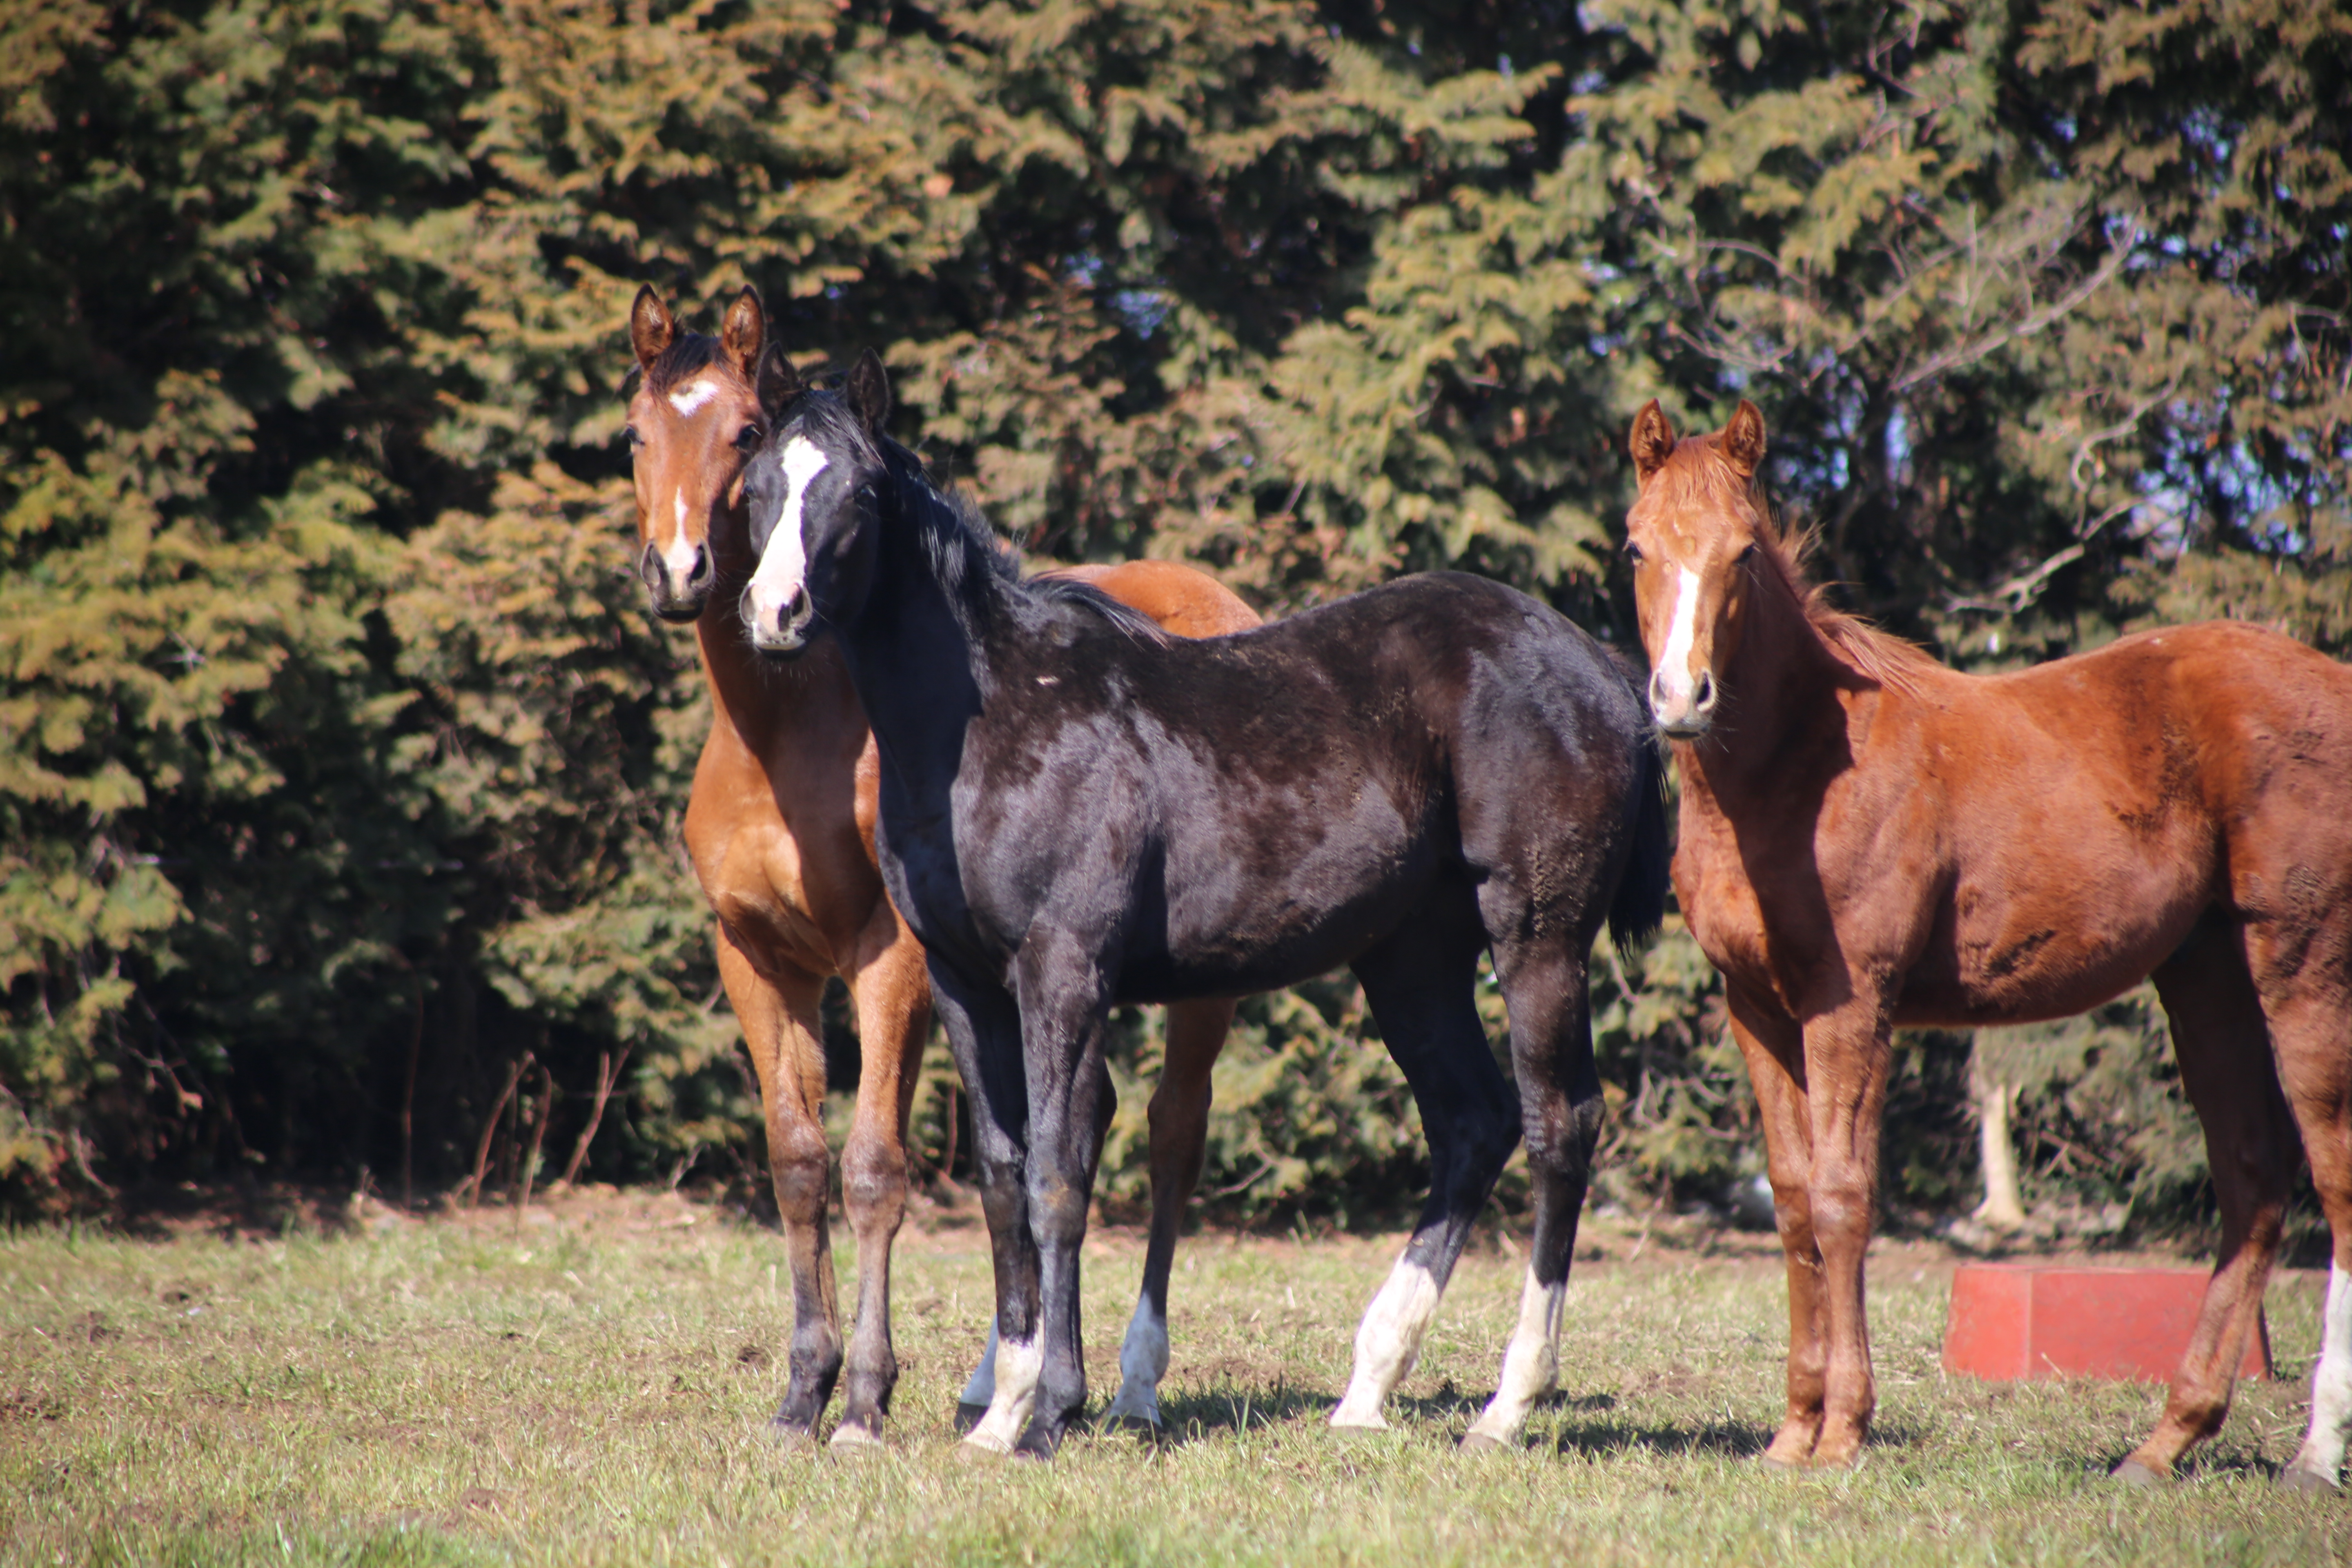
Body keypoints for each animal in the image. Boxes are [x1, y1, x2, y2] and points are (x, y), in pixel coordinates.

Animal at [616, 285, 1261, 1448]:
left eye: (741, 433)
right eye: (636, 436)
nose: (682, 574)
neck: (788, 737)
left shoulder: (897, 955)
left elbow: (875, 1167)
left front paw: (865, 1400)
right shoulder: (755, 957)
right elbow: (798, 1162)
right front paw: (803, 1391)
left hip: (1201, 987)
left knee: (1169, 1134)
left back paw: (1134, 1383)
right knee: (1080, 1122)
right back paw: (1010, 1377)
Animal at [734, 352, 1675, 1457]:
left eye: (858, 492)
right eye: (758, 485)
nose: (775, 612)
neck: (994, 721)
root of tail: (1602, 667)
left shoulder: (1064, 972)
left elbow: (1058, 1176)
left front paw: (1050, 1410)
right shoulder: (966, 984)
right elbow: (1004, 1178)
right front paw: (1000, 1412)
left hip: (1537, 938)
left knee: (1556, 1126)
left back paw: (1507, 1402)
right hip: (1411, 959)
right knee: (1471, 1123)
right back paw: (1366, 1389)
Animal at [1627, 399, 2352, 1495]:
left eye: (1743, 553)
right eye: (1636, 547)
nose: (1681, 698)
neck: (1798, 771)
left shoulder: (1852, 1002)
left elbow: (1842, 1198)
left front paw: (1842, 1431)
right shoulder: (1753, 1007)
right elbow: (1791, 1201)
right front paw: (1791, 1432)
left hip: (2302, 973)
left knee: (2332, 1179)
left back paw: (2313, 1453)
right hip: (2205, 980)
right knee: (2252, 1183)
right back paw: (2164, 1441)